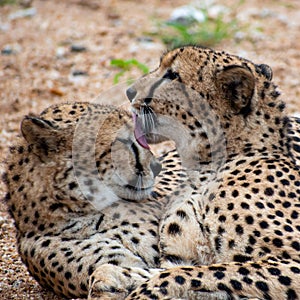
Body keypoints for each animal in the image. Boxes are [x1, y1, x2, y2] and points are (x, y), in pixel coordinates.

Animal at [126, 45, 300, 300]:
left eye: (173, 75)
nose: (129, 92)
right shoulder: (179, 254)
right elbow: (177, 271)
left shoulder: (291, 260)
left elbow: (192, 273)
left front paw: (141, 292)